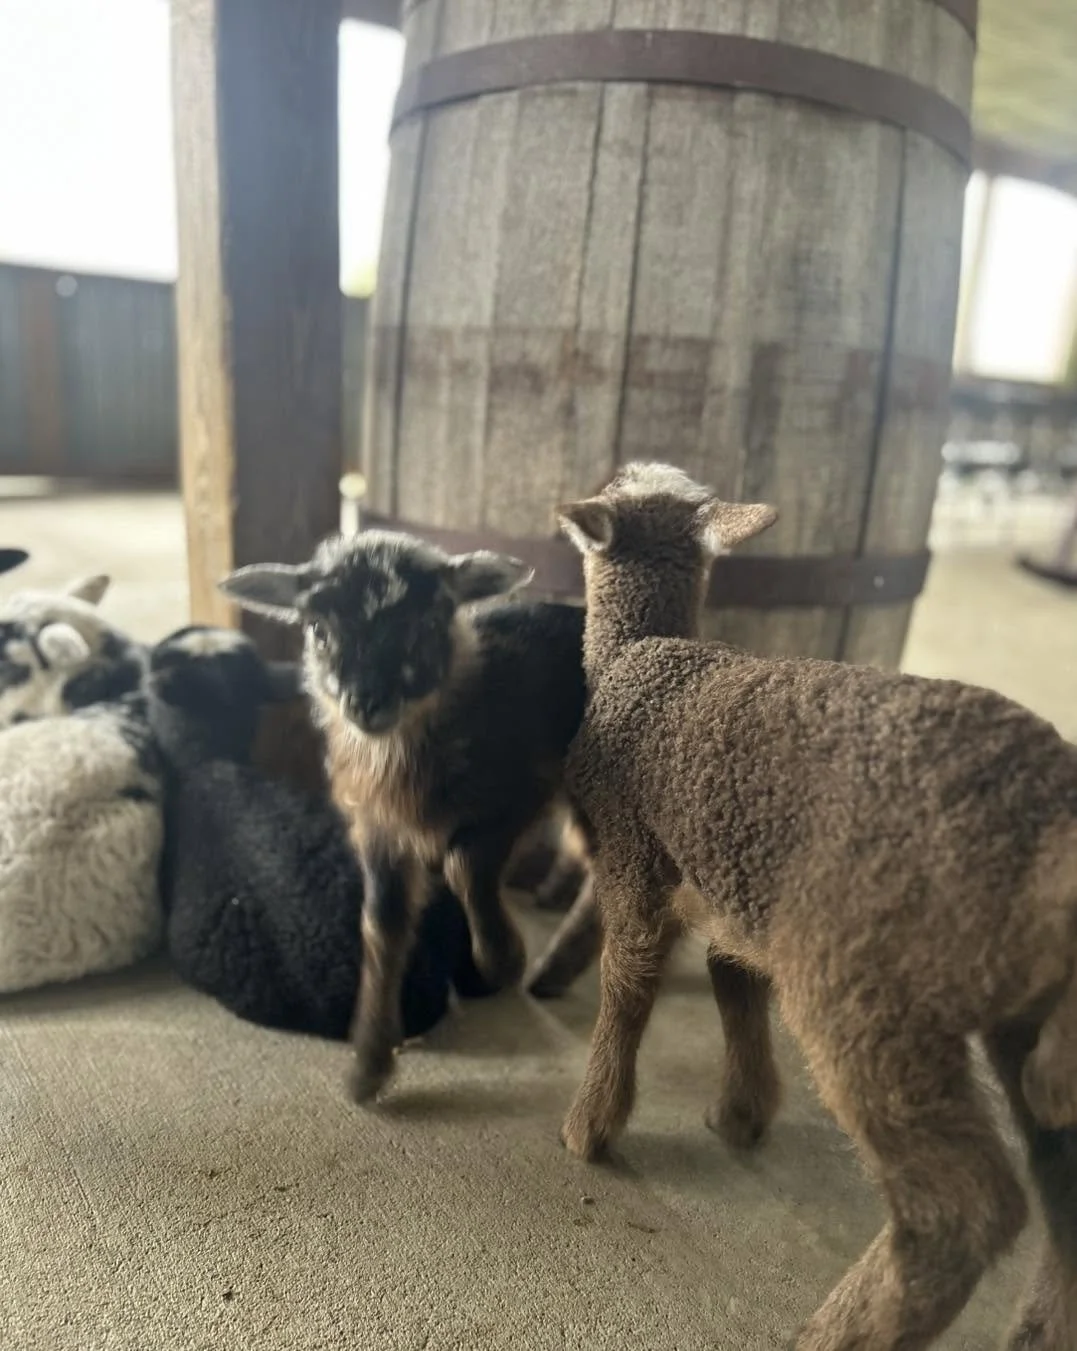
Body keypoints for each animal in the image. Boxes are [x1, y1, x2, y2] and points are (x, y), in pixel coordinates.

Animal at [556, 461, 1077, 1351]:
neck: (638, 648)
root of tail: (1053, 824)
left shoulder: (632, 859)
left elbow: (625, 987)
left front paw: (593, 1123)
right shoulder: (738, 889)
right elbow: (732, 983)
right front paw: (741, 1111)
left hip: (868, 987)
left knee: (960, 1208)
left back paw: (835, 1332)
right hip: (1024, 1028)